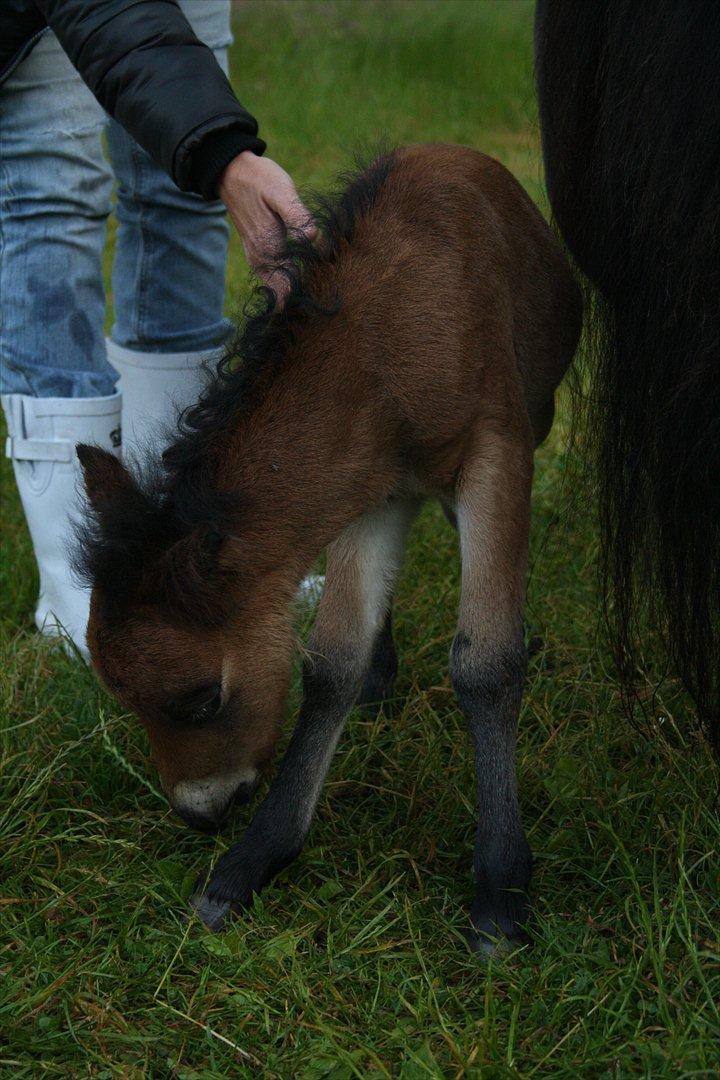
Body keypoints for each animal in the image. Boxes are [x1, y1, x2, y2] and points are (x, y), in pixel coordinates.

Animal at [74, 145, 578, 954]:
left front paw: (501, 894)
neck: (387, 350)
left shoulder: (496, 447)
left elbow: (488, 661)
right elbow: (332, 662)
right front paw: (249, 863)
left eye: (200, 697)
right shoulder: (369, 488)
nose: (198, 813)